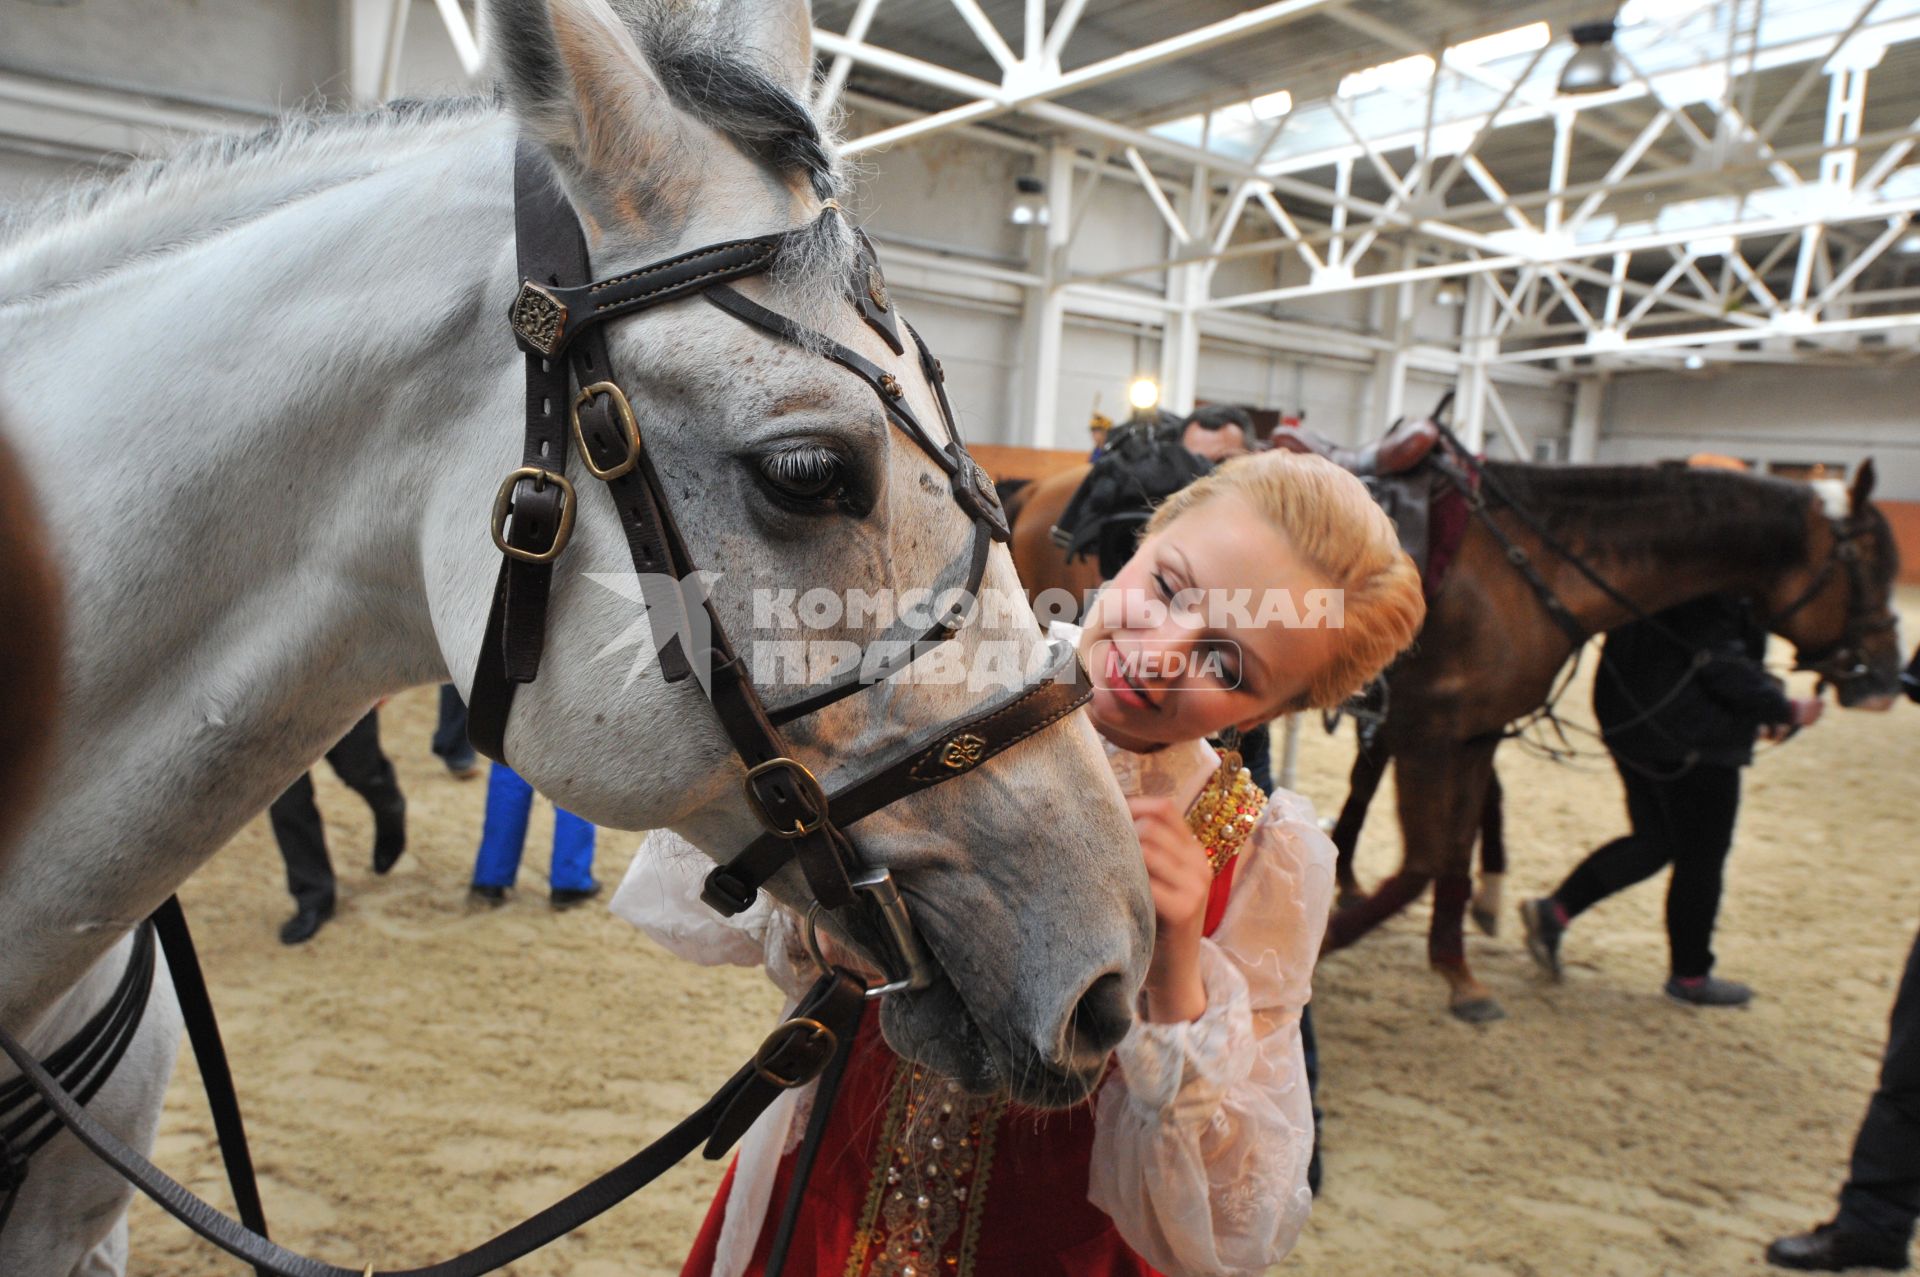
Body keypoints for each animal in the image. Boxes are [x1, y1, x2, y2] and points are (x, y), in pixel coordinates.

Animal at [1006, 451, 1904, 1013]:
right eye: (1871, 563)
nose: (1887, 679)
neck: (1530, 562)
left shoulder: (1473, 734)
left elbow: (1455, 847)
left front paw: (1459, 962)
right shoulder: (1431, 731)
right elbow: (1427, 857)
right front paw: (1344, 938)